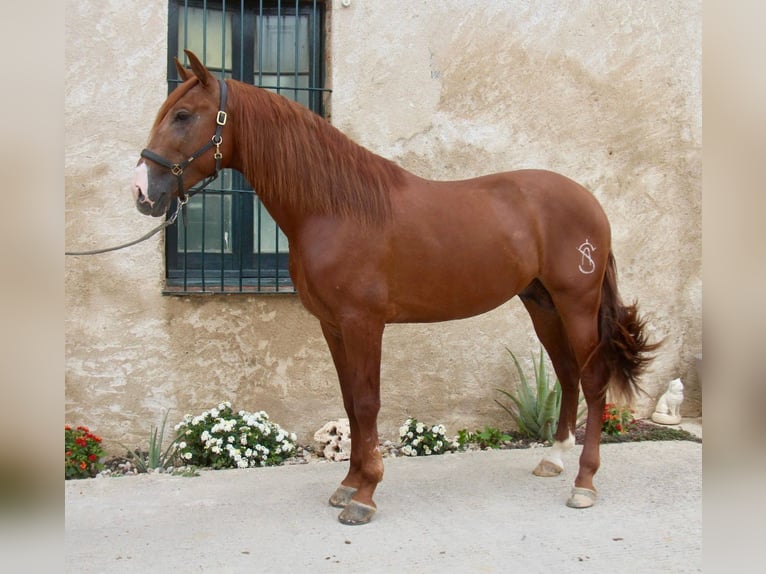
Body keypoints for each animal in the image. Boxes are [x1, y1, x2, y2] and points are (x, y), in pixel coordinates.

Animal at [135, 53, 656, 528]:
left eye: (183, 116)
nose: (144, 192)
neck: (334, 208)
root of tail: (589, 201)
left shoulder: (363, 323)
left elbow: (367, 403)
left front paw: (365, 495)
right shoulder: (332, 325)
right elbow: (350, 403)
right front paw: (347, 486)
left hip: (577, 304)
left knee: (593, 380)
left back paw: (584, 483)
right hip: (542, 305)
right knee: (567, 374)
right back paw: (553, 459)